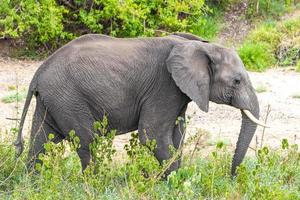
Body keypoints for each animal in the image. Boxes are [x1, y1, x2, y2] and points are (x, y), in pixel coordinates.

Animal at [14, 32, 268, 177]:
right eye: (237, 81)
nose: (231, 176)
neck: (201, 46)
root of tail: (39, 71)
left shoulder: (178, 92)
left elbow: (178, 135)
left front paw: (176, 181)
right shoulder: (165, 86)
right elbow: (152, 134)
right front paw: (172, 182)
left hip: (54, 100)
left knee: (41, 141)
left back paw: (32, 183)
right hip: (69, 98)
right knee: (87, 142)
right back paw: (94, 183)